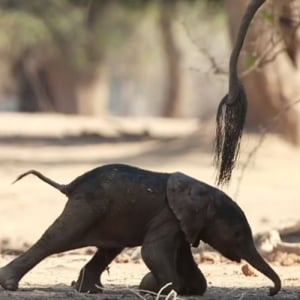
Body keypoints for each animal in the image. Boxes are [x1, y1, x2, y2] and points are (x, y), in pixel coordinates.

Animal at [0, 165, 282, 296]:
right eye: (237, 235)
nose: (270, 291)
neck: (206, 193)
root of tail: (70, 185)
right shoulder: (168, 217)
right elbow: (152, 253)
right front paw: (161, 290)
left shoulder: (182, 225)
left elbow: (188, 269)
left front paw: (154, 287)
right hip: (85, 208)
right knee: (57, 238)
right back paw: (9, 284)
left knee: (109, 249)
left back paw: (89, 290)